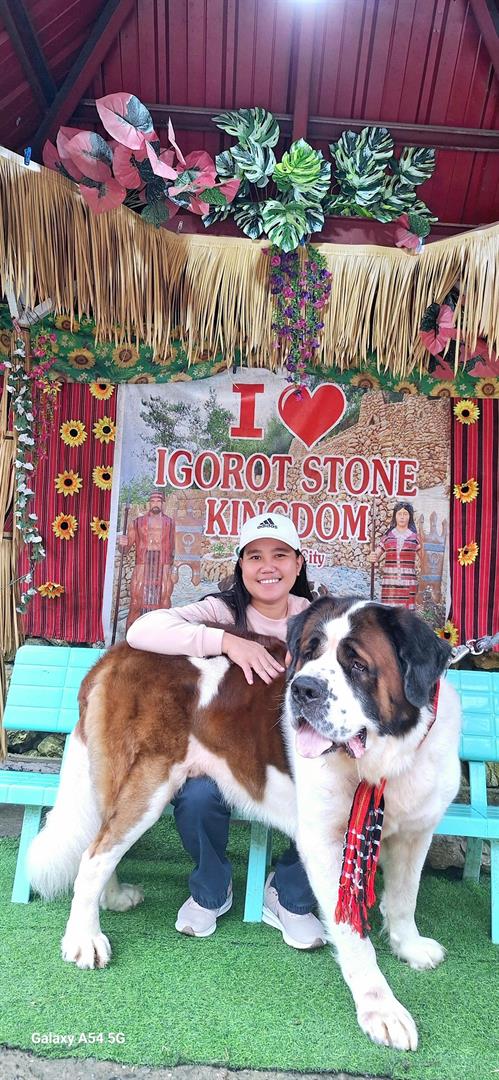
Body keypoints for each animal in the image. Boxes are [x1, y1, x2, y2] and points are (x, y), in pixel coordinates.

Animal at [28, 595, 461, 1051]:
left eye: (357, 664)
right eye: (309, 652)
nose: (302, 689)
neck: (387, 758)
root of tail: (115, 653)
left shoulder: (416, 832)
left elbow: (404, 897)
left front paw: (409, 947)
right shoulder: (327, 841)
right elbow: (353, 935)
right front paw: (381, 1010)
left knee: (101, 846)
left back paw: (111, 898)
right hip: (147, 783)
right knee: (95, 855)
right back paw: (83, 939)